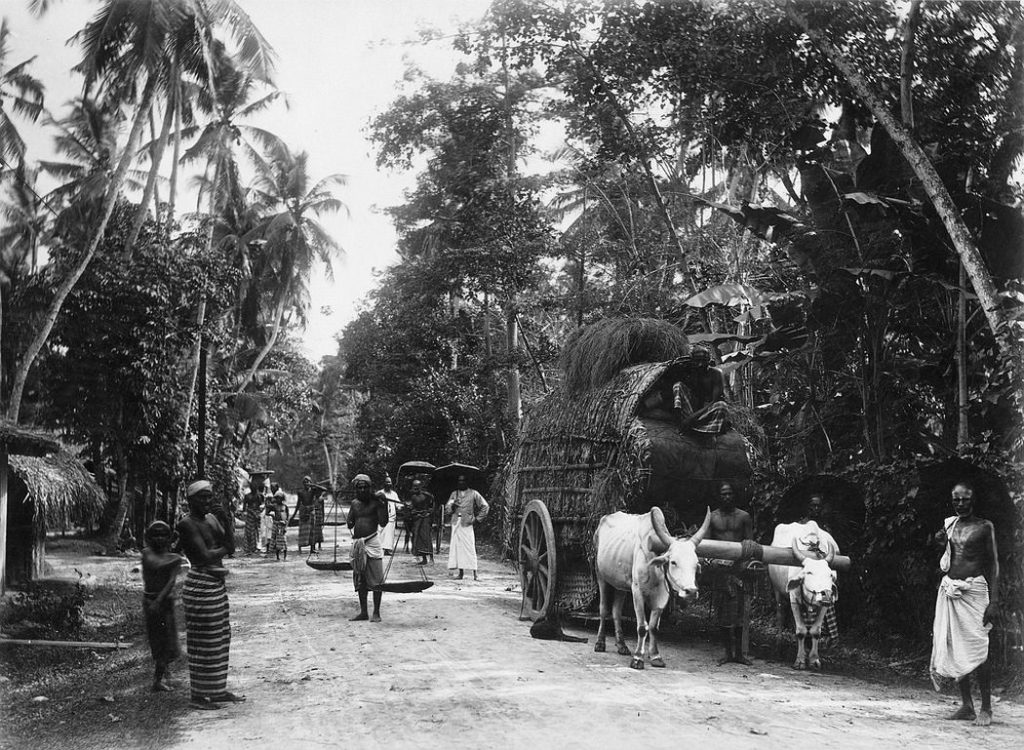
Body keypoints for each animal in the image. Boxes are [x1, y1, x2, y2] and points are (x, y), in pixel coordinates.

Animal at [598, 506, 708, 672]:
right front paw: (638, 658)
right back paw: (600, 643)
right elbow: (642, 627)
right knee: (604, 609)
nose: (691, 591)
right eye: (673, 562)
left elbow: (654, 627)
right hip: (601, 576)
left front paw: (656, 656)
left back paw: (622, 645)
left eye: (696, 564)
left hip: (620, 584)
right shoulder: (637, 591)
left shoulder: (662, 596)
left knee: (616, 611)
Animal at [770, 520, 839, 672]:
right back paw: (778, 647)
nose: (826, 594)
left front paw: (814, 660)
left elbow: (815, 631)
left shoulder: (825, 606)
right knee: (780, 616)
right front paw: (800, 661)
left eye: (830, 574)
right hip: (778, 593)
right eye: (809, 572)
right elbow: (801, 631)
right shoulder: (794, 599)